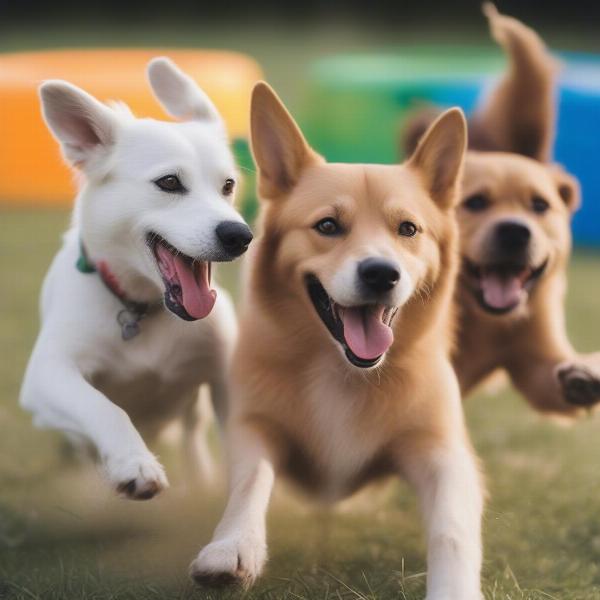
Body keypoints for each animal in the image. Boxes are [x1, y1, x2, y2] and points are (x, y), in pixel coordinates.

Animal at [19, 56, 252, 500]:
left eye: (228, 185)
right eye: (169, 182)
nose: (240, 235)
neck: (144, 308)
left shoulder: (225, 378)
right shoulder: (45, 375)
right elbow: (102, 407)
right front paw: (135, 464)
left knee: (193, 435)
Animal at [190, 81, 486, 600]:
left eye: (408, 229)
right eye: (328, 226)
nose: (381, 274)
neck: (343, 370)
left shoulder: (444, 452)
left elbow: (452, 528)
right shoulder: (254, 426)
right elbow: (250, 480)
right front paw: (233, 546)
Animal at [404, 4, 600, 414]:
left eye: (540, 205)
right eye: (476, 202)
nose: (514, 231)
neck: (483, 323)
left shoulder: (537, 356)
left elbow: (557, 378)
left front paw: (587, 372)